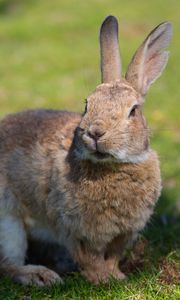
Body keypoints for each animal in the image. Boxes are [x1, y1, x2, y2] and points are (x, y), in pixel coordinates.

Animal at [0, 15, 172, 286]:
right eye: (87, 105)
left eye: (133, 111)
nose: (96, 132)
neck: (111, 167)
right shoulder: (74, 230)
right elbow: (89, 258)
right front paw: (100, 279)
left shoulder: (123, 234)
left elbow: (112, 256)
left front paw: (117, 277)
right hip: (7, 222)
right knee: (8, 264)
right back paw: (40, 276)